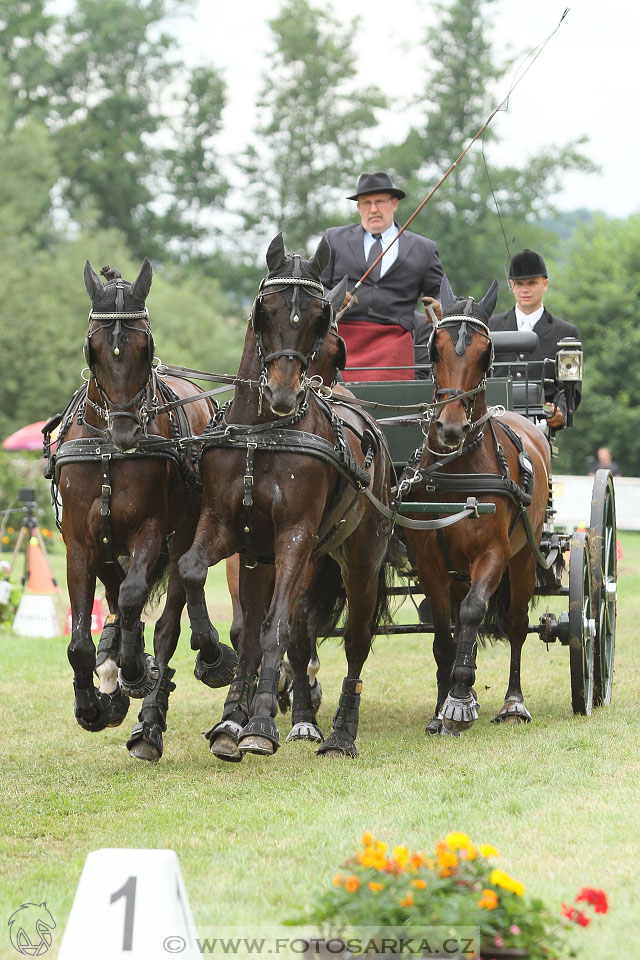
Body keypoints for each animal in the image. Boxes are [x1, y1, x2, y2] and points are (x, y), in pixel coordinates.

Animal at [52, 258, 238, 760]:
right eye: (94, 347)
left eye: (144, 346)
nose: (126, 432)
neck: (107, 453)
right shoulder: (79, 543)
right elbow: (79, 642)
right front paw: (94, 705)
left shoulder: (151, 530)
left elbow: (138, 598)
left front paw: (136, 670)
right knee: (117, 600)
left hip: (182, 535)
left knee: (169, 617)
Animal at [178, 232, 392, 756]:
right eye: (265, 310)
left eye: (319, 318)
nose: (283, 394)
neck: (263, 434)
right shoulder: (227, 529)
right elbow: (194, 571)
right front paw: (214, 662)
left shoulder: (295, 536)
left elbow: (277, 626)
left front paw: (260, 725)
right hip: (262, 560)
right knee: (263, 628)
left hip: (360, 559)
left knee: (355, 641)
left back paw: (340, 731)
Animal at [404, 278, 552, 736]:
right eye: (434, 349)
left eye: (487, 353)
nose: (450, 427)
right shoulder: (429, 560)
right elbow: (443, 633)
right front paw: (442, 707)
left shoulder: (494, 553)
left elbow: (473, 612)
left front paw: (459, 698)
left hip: (525, 556)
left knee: (517, 625)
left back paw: (513, 702)